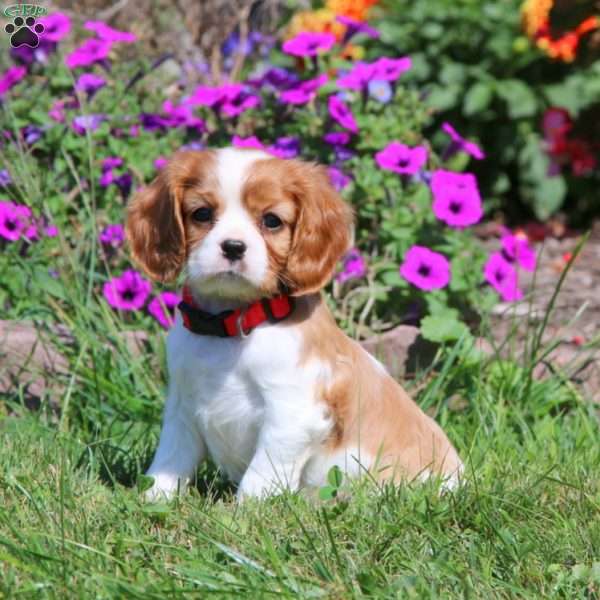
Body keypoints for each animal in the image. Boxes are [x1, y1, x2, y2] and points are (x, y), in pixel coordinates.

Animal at [125, 148, 464, 500]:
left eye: (272, 220)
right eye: (202, 214)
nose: (233, 246)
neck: (229, 323)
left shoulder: (291, 414)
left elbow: (259, 475)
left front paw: (243, 511)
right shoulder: (182, 406)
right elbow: (170, 459)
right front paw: (152, 499)